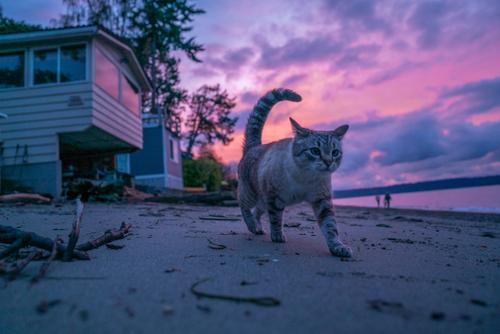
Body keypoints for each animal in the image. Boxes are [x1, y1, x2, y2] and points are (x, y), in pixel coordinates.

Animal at [237, 87, 352, 258]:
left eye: (335, 152)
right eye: (315, 151)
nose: (328, 162)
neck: (306, 177)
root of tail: (254, 146)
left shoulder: (322, 199)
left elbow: (330, 226)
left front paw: (337, 247)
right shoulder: (274, 196)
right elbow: (276, 218)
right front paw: (277, 235)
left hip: (263, 200)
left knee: (257, 210)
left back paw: (258, 228)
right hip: (252, 193)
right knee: (244, 205)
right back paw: (252, 225)